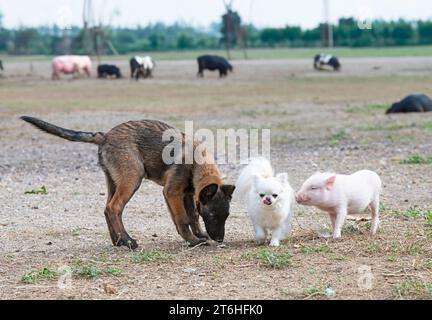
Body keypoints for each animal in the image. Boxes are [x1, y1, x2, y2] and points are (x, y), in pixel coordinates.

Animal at [21, 116, 236, 249]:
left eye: (226, 216)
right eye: (212, 215)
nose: (220, 238)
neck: (197, 162)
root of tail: (105, 136)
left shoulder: (188, 194)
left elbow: (192, 216)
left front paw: (199, 235)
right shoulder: (172, 192)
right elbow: (183, 219)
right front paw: (192, 241)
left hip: (114, 181)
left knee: (107, 208)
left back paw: (118, 241)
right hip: (132, 178)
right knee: (114, 207)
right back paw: (128, 241)